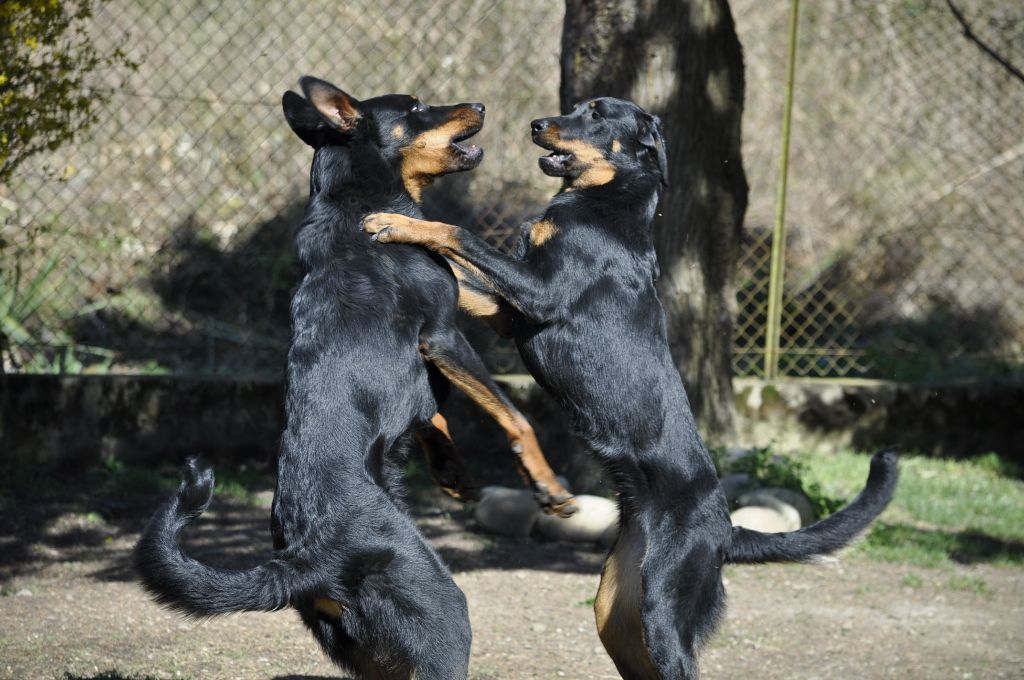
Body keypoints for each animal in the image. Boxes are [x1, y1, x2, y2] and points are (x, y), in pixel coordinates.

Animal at [131, 75, 573, 680]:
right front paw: (549, 487)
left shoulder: (431, 356)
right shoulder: (442, 334)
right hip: (441, 611)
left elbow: (432, 413)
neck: (359, 202)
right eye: (415, 107)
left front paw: (453, 472)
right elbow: (512, 415)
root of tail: (305, 562)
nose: (480, 105)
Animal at [364, 96, 901, 680]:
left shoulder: (538, 294)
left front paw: (394, 222)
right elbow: (463, 278)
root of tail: (725, 531)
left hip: (665, 612)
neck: (604, 201)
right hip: (617, 613)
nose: (536, 124)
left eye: (597, 114)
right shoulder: (510, 314)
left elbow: (458, 233)